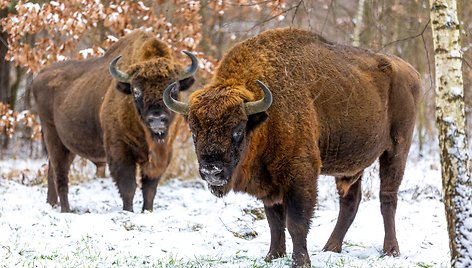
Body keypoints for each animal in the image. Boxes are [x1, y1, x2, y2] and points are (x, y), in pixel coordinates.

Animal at [32, 30, 196, 213]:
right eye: (136, 90)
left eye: (174, 88)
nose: (156, 118)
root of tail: (39, 76)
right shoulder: (119, 151)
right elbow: (128, 186)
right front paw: (128, 211)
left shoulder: (164, 153)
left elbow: (149, 189)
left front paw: (147, 211)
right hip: (53, 137)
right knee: (60, 175)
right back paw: (65, 210)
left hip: (68, 145)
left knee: (52, 171)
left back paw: (52, 204)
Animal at [165, 28, 420, 266]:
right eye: (194, 132)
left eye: (237, 130)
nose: (212, 170)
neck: (265, 117)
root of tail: (411, 71)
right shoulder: (269, 184)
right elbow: (274, 222)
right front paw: (272, 256)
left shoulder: (300, 175)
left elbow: (296, 222)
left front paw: (301, 261)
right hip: (352, 165)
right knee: (350, 202)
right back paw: (331, 248)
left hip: (397, 149)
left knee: (387, 198)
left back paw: (390, 251)